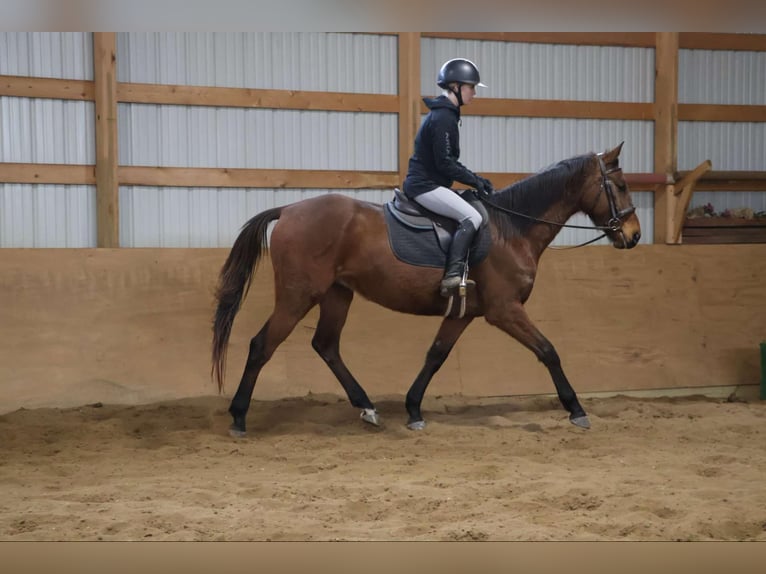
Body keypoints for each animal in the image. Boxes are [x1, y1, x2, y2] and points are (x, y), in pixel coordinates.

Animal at [212, 143, 641, 437]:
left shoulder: (465, 313)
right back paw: (239, 417)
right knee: (262, 345)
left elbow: (436, 355)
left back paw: (367, 407)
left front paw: (414, 409)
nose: (634, 236)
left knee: (326, 345)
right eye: (619, 185)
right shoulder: (505, 310)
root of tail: (287, 210)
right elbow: (549, 350)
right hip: (298, 296)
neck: (511, 229)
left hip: (337, 294)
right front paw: (576, 409)